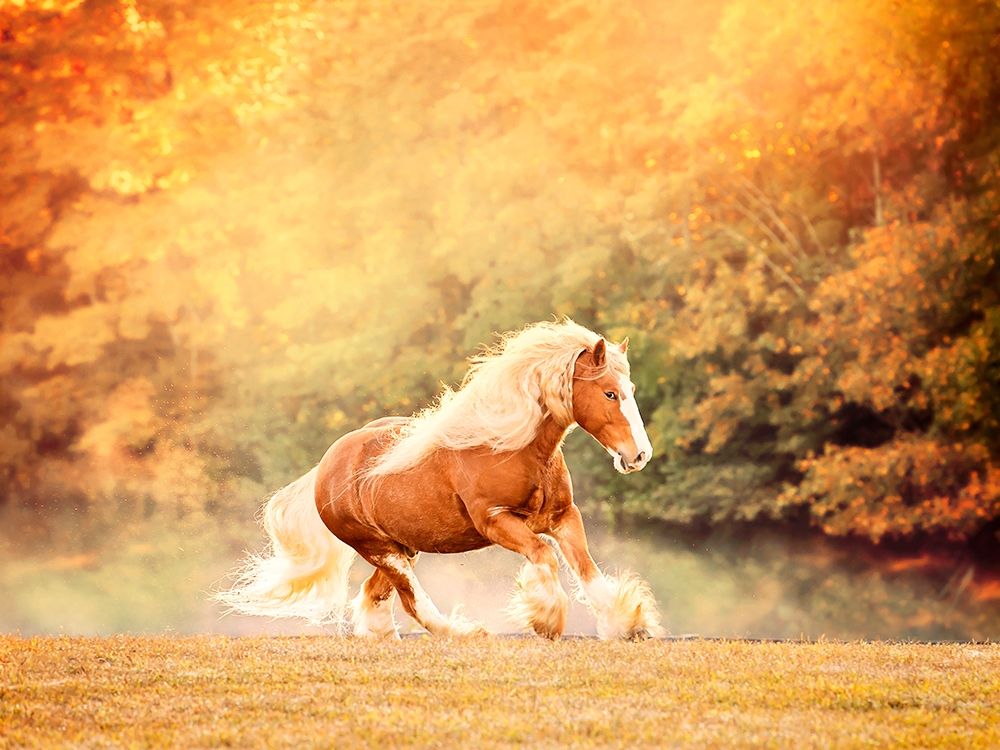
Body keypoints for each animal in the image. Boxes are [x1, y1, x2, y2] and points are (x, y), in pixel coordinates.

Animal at [215, 319, 662, 640]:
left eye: (630, 387)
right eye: (609, 393)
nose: (639, 455)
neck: (510, 447)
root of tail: (325, 468)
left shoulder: (564, 517)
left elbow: (588, 571)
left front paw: (629, 626)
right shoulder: (496, 521)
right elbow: (544, 556)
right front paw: (546, 621)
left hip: (402, 548)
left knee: (375, 594)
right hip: (381, 550)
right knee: (411, 601)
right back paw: (464, 633)